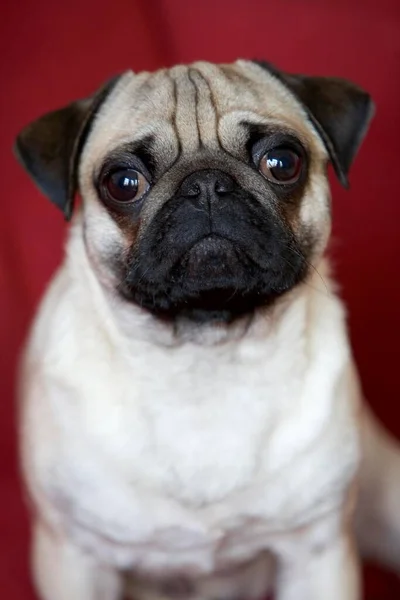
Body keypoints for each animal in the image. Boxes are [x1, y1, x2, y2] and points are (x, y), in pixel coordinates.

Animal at [15, 59, 400, 600]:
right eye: (123, 182)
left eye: (282, 162)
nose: (206, 186)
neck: (205, 356)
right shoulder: (74, 555)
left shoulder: (317, 552)